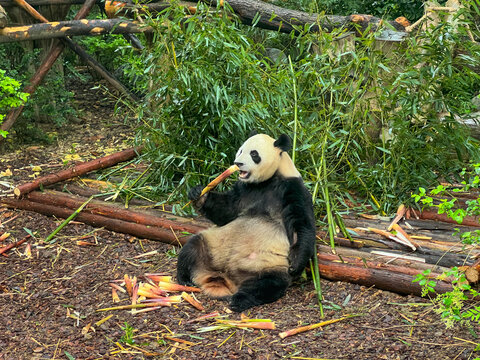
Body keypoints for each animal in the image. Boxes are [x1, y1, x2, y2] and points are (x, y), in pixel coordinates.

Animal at [176, 132, 316, 312]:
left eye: (254, 154)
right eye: (240, 150)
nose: (238, 163)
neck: (266, 181)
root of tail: (223, 277)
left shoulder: (292, 188)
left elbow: (301, 224)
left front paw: (296, 263)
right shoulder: (244, 189)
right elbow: (227, 211)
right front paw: (199, 193)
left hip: (267, 264)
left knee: (266, 283)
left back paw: (239, 300)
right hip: (211, 244)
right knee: (191, 248)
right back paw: (185, 278)